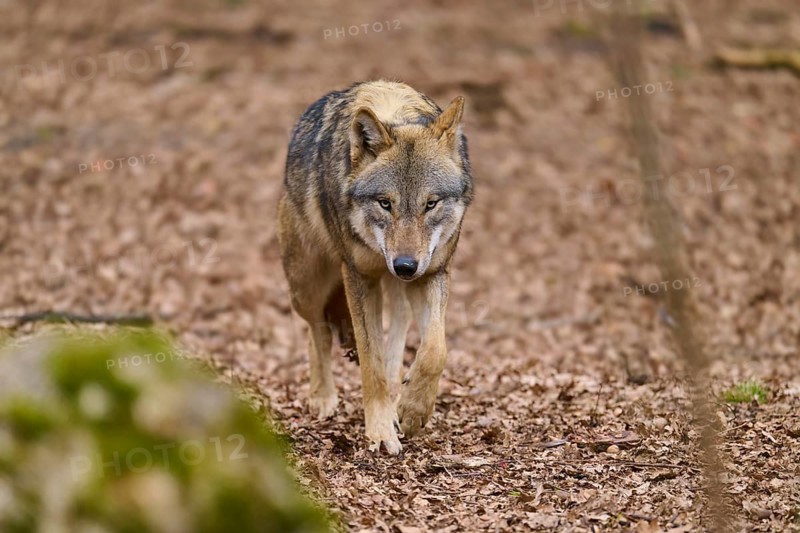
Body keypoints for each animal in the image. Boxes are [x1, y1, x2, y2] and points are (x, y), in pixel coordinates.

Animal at [278, 80, 473, 454]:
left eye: (431, 204)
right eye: (385, 203)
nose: (405, 265)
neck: (394, 111)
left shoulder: (432, 273)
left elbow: (435, 350)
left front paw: (412, 410)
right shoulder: (359, 276)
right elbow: (372, 364)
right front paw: (381, 432)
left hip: (396, 292)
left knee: (394, 341)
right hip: (306, 285)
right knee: (317, 329)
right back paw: (322, 397)